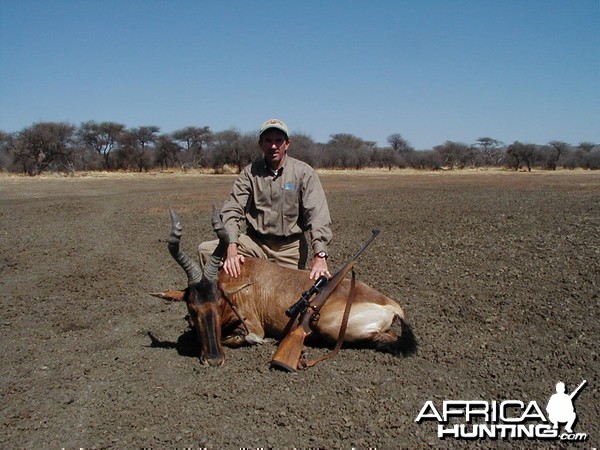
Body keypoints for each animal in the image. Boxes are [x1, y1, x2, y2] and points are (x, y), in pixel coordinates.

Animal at [151, 209, 418, 368]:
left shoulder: (254, 327)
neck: (242, 276)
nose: (214, 360)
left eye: (220, 302)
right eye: (192, 307)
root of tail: (392, 305)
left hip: (331, 325)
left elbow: (249, 338)